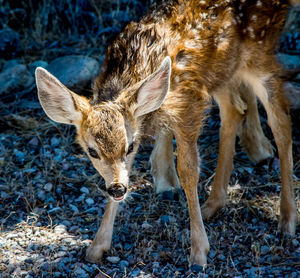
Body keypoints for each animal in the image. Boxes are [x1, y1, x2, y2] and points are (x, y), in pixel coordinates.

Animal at [35, 0, 298, 266]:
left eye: (130, 146)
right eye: (92, 151)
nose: (117, 189)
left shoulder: (188, 105)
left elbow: (188, 171)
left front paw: (199, 251)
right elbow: (129, 171)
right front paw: (97, 246)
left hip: (258, 51)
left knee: (281, 122)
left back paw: (286, 220)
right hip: (223, 69)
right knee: (234, 110)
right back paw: (214, 204)